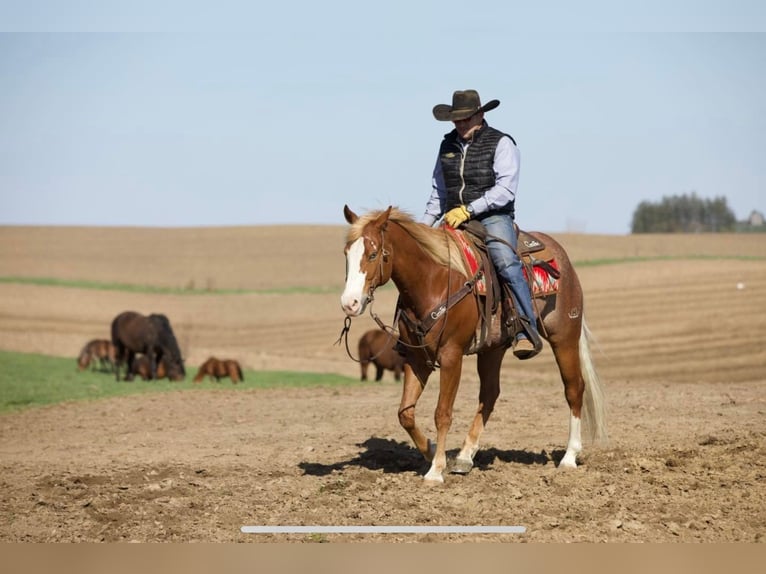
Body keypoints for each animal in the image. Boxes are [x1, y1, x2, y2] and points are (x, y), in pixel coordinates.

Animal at [340, 207, 608, 486]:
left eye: (373, 254)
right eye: (347, 253)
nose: (349, 303)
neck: (432, 280)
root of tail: (561, 256)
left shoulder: (451, 356)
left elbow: (442, 413)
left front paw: (435, 470)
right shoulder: (415, 359)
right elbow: (405, 413)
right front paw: (432, 451)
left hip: (564, 337)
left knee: (574, 388)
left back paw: (569, 457)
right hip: (492, 349)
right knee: (490, 393)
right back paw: (465, 456)